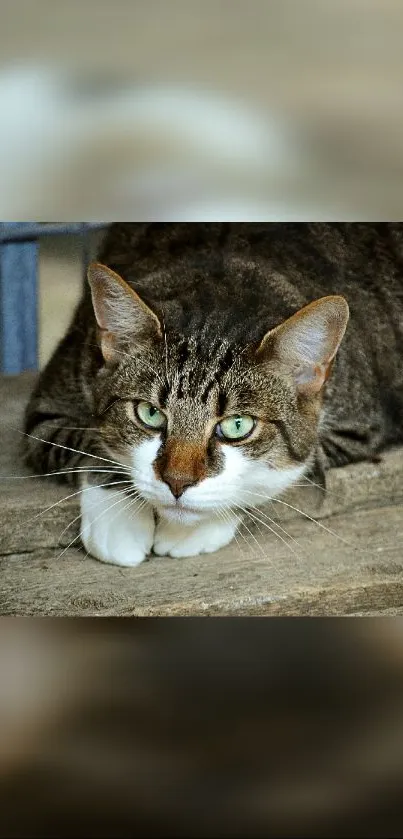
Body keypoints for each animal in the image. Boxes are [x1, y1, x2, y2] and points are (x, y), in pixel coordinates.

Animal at [23, 221, 403, 572]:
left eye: (237, 425)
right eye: (150, 414)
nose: (177, 483)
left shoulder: (358, 425)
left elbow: (286, 469)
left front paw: (189, 531)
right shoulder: (52, 401)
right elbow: (89, 443)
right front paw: (120, 522)